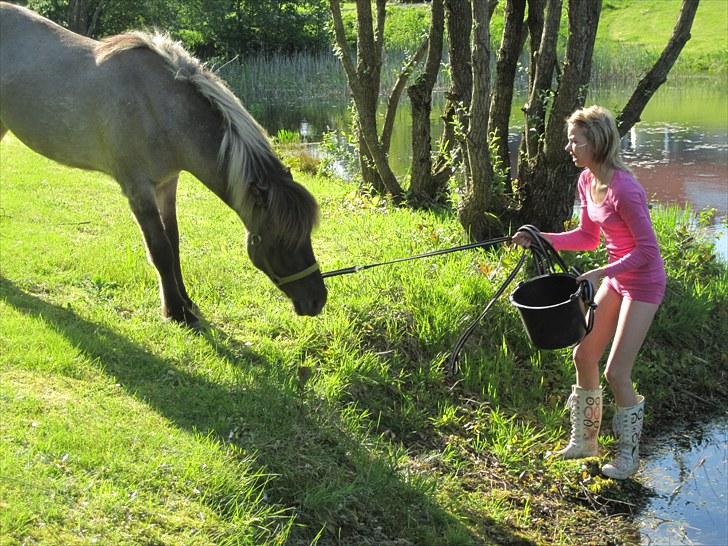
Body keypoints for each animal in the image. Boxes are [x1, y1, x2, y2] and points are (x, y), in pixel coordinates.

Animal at [0, 2, 326, 326]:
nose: (317, 300)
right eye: (281, 239)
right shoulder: (139, 190)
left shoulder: (167, 185)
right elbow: (160, 250)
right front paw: (176, 311)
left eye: (308, 234)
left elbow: (174, 243)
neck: (158, 108)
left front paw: (187, 302)